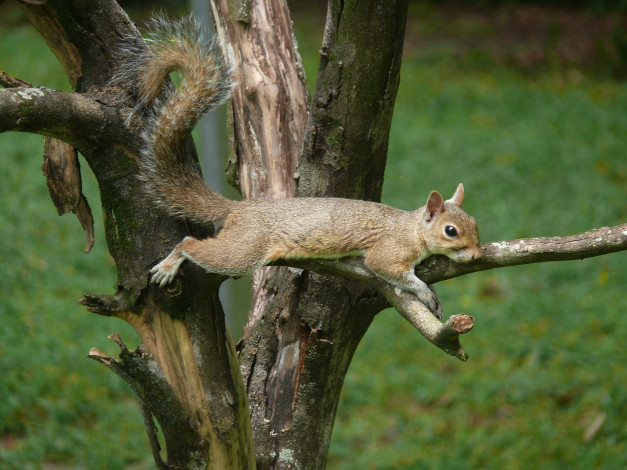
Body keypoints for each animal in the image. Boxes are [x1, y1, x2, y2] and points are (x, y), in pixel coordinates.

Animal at [122, 16, 486, 314]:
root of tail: (242, 210)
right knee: (194, 245)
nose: (478, 255)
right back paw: (171, 263)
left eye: (474, 223)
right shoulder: (388, 251)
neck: (411, 228)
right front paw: (423, 292)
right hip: (244, 249)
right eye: (450, 231)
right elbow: (390, 270)